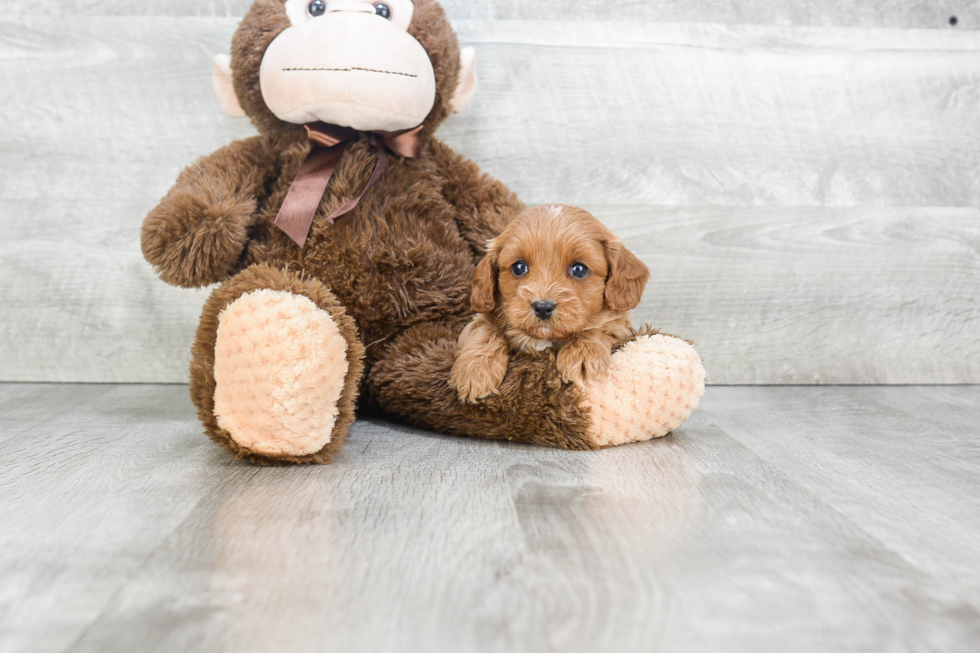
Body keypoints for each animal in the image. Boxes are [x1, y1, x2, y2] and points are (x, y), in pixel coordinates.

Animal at [450, 202, 652, 402]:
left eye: (579, 269)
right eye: (519, 267)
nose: (542, 307)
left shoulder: (622, 325)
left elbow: (599, 326)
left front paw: (582, 355)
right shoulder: (477, 321)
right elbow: (486, 330)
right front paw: (475, 370)